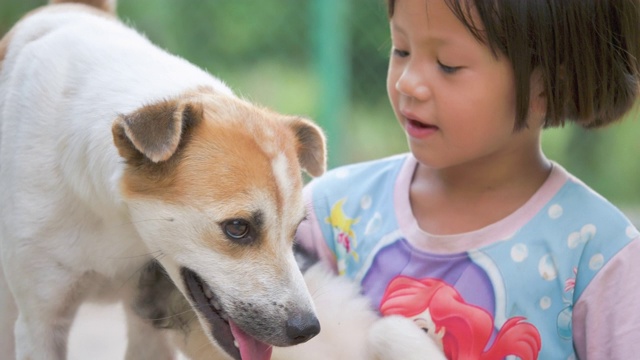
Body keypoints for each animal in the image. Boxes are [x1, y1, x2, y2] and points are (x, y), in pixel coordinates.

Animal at [0, 0, 328, 360]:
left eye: (296, 229)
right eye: (237, 228)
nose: (307, 329)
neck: (116, 217)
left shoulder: (147, 319)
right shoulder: (41, 322)